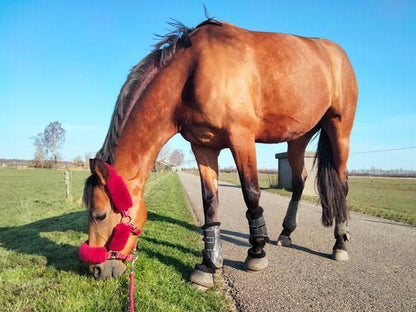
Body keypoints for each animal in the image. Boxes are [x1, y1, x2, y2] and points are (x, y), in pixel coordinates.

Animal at [80, 19, 358, 288]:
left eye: (100, 215)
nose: (97, 270)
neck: (193, 72)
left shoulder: (242, 138)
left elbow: (251, 194)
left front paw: (256, 253)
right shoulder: (204, 146)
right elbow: (210, 203)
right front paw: (208, 266)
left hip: (339, 130)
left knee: (342, 183)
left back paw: (340, 244)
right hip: (298, 137)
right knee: (299, 181)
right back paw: (286, 234)